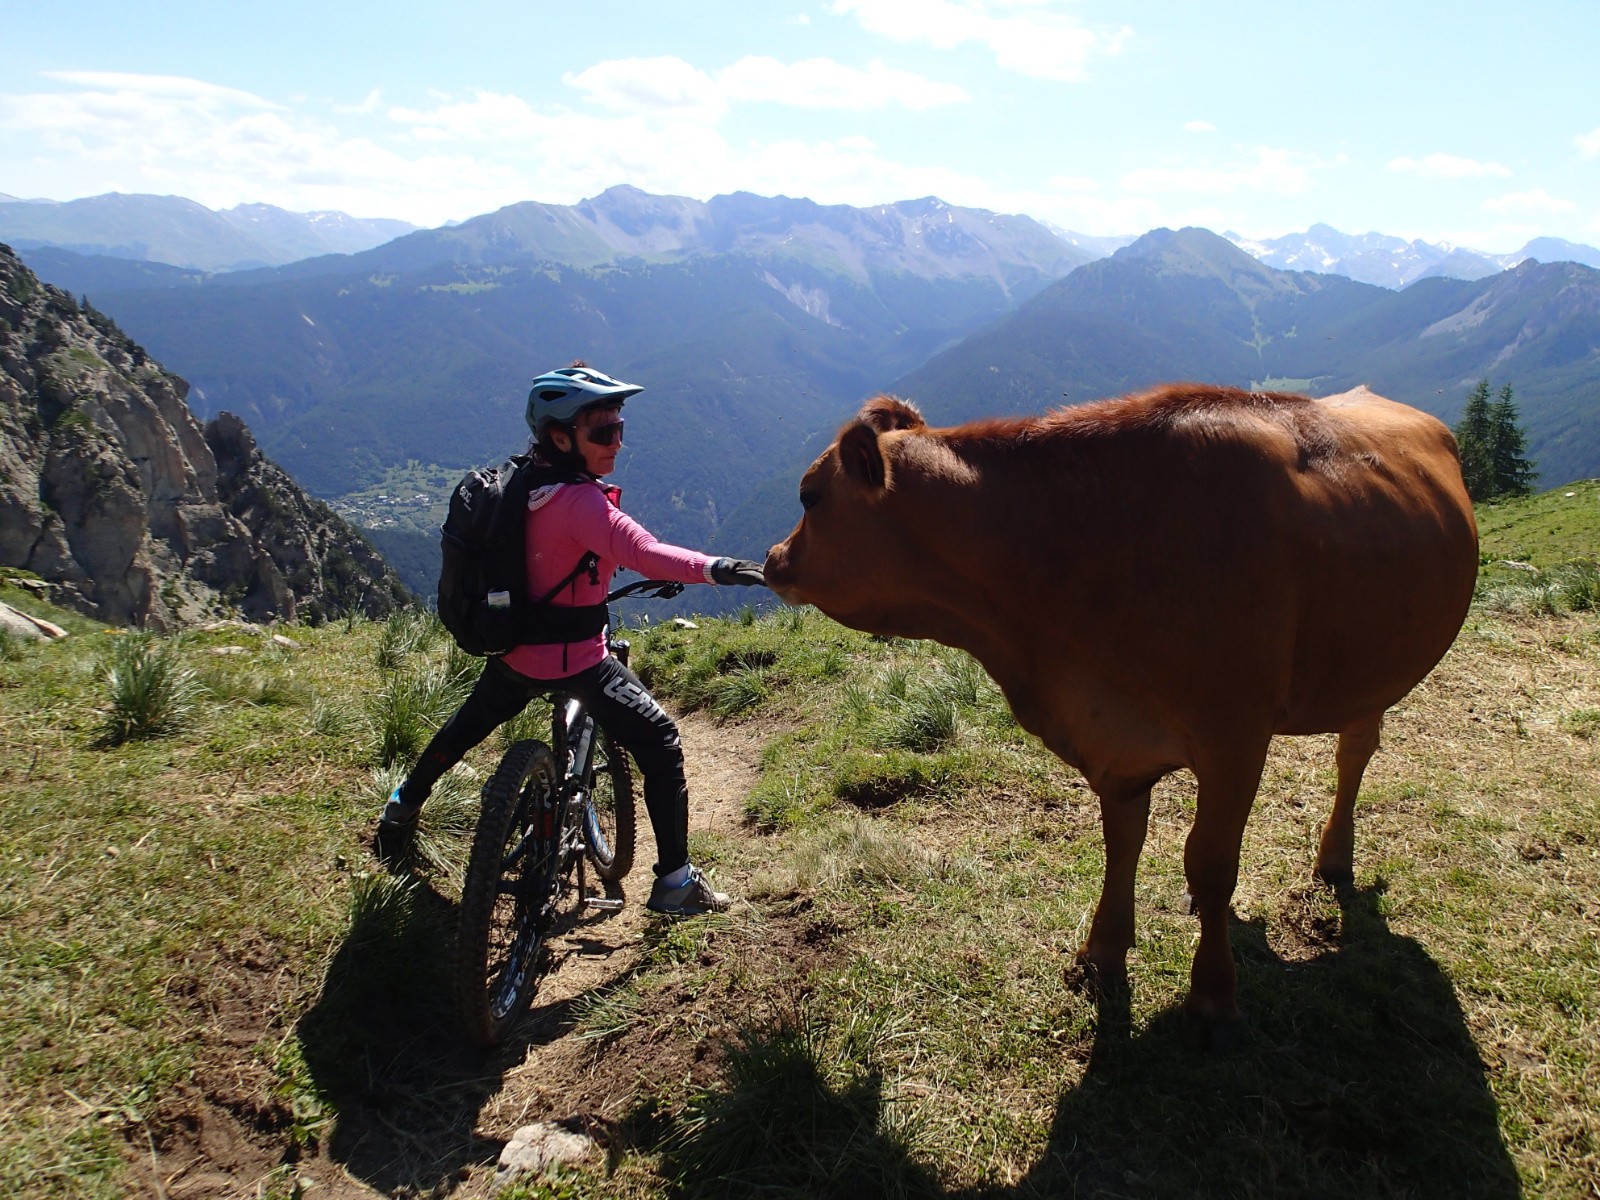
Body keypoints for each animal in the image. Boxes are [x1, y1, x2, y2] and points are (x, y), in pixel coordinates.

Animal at [761, 382, 1472, 1043]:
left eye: (809, 497)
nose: (771, 559)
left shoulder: (1235, 737)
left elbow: (1211, 863)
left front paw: (1213, 996)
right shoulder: (1115, 739)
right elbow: (1122, 843)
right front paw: (1102, 949)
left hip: (1374, 672)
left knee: (1354, 754)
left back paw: (1333, 860)